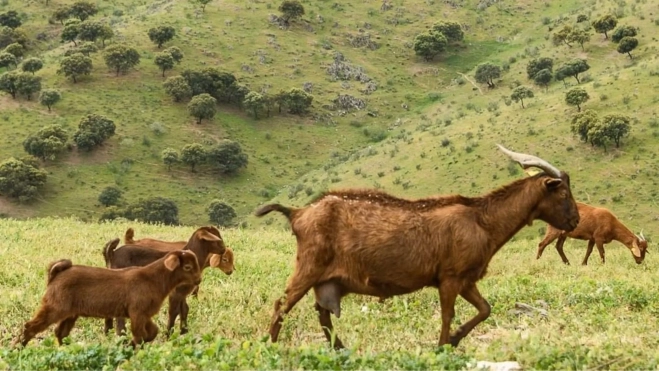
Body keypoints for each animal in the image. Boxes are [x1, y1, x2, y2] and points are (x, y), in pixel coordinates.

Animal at [255, 144, 580, 350]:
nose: (576, 220)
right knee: (282, 305)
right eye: (563, 192)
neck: (482, 220)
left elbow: (485, 309)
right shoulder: (450, 278)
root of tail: (298, 213)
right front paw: (442, 346)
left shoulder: (466, 279)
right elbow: (448, 314)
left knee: (322, 313)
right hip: (309, 266)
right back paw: (270, 345)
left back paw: (340, 350)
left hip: (328, 280)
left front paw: (455, 339)